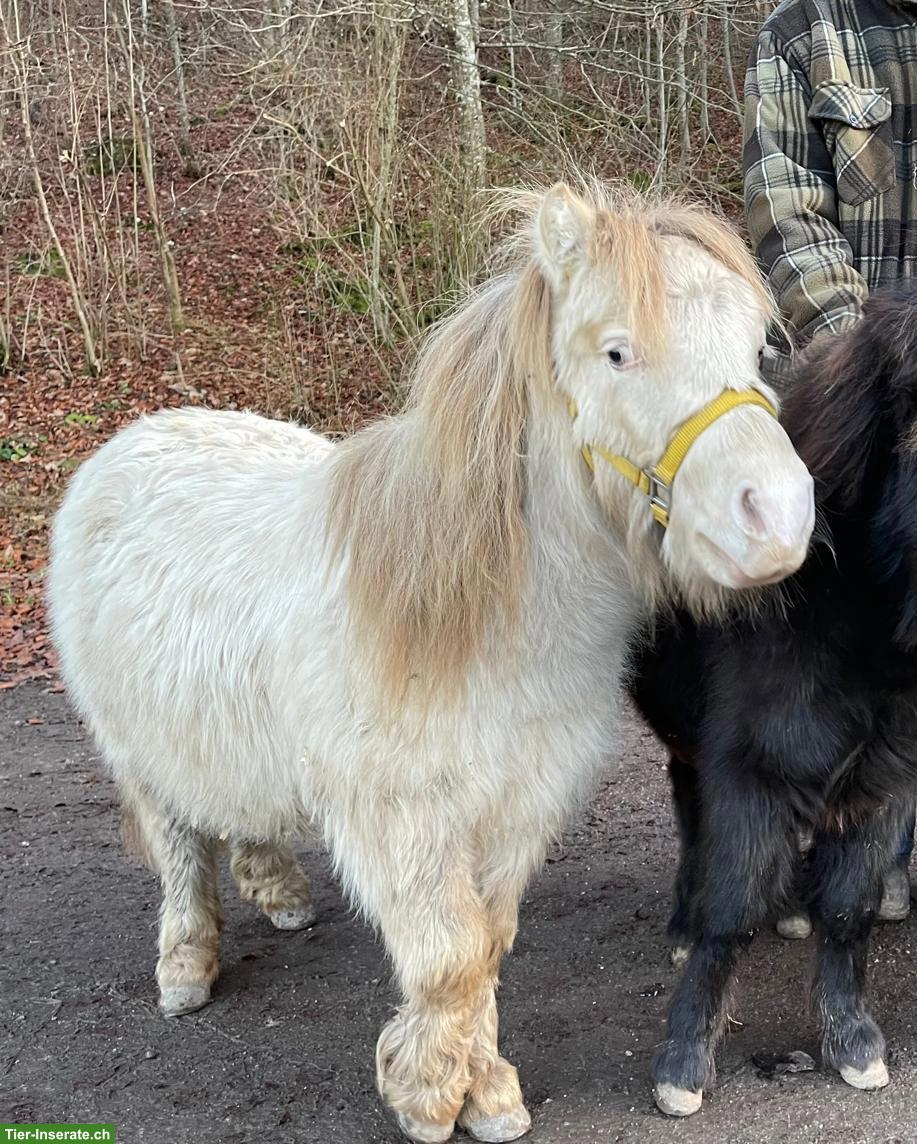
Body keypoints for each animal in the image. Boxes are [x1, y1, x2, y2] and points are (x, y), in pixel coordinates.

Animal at [46, 181, 813, 1144]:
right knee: (180, 842)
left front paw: (487, 1099)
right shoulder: (404, 821)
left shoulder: (517, 807)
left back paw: (279, 890)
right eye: (617, 352)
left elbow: (483, 949)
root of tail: (133, 438)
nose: (776, 519)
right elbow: (449, 961)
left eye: (756, 349)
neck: (469, 617)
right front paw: (428, 1100)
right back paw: (185, 967)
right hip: (139, 747)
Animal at [629, 286, 917, 1119]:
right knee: (689, 815)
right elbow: (728, 916)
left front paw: (851, 1042)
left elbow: (849, 909)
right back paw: (681, 921)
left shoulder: (884, 779)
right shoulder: (748, 772)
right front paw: (682, 1066)